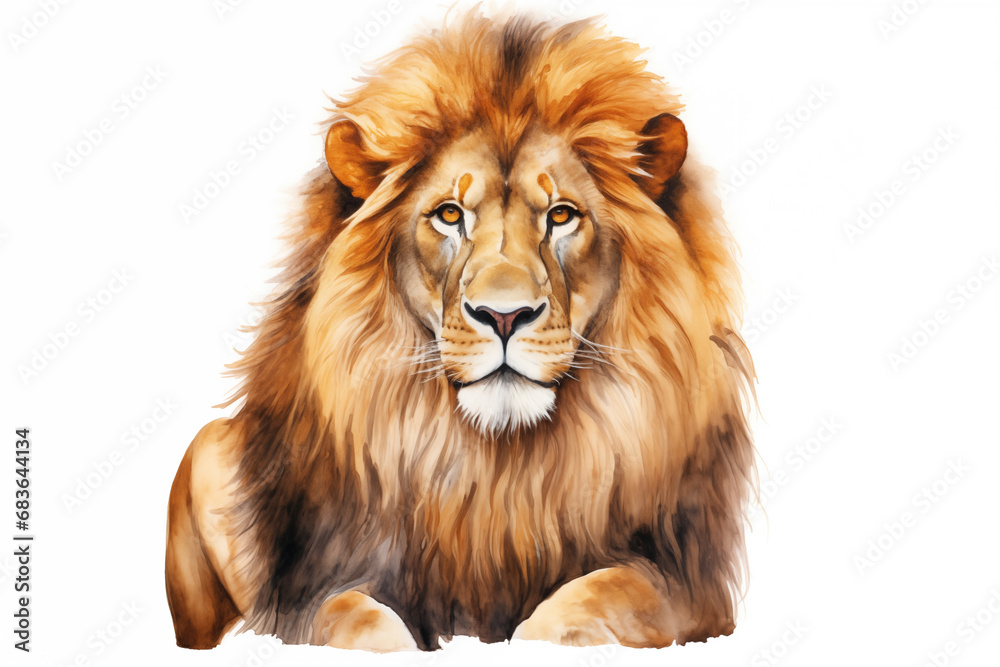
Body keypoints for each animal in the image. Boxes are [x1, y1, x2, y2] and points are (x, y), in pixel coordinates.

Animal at [165, 11, 755, 652]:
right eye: (450, 215)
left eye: (562, 215)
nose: (504, 316)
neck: (495, 472)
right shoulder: (311, 590)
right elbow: (353, 616)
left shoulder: (691, 588)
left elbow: (598, 595)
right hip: (208, 450)